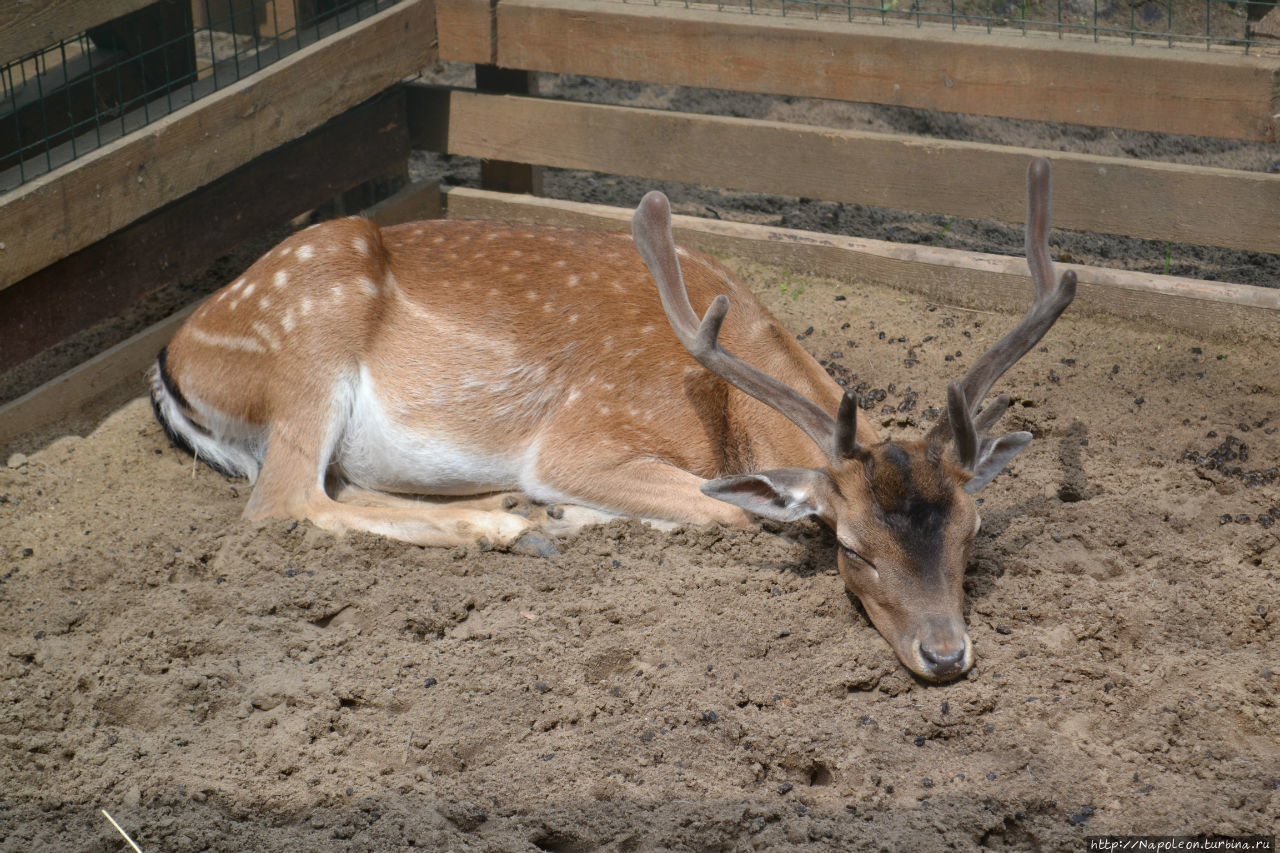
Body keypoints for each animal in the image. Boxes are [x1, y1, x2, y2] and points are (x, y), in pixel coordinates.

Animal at [147, 156, 1070, 681]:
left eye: (972, 531)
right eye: (852, 548)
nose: (946, 655)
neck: (724, 406)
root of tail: (172, 357)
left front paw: (553, 514)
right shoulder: (579, 435)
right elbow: (727, 512)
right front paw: (562, 512)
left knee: (332, 488)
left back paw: (509, 514)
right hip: (309, 340)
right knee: (281, 500)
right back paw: (511, 524)